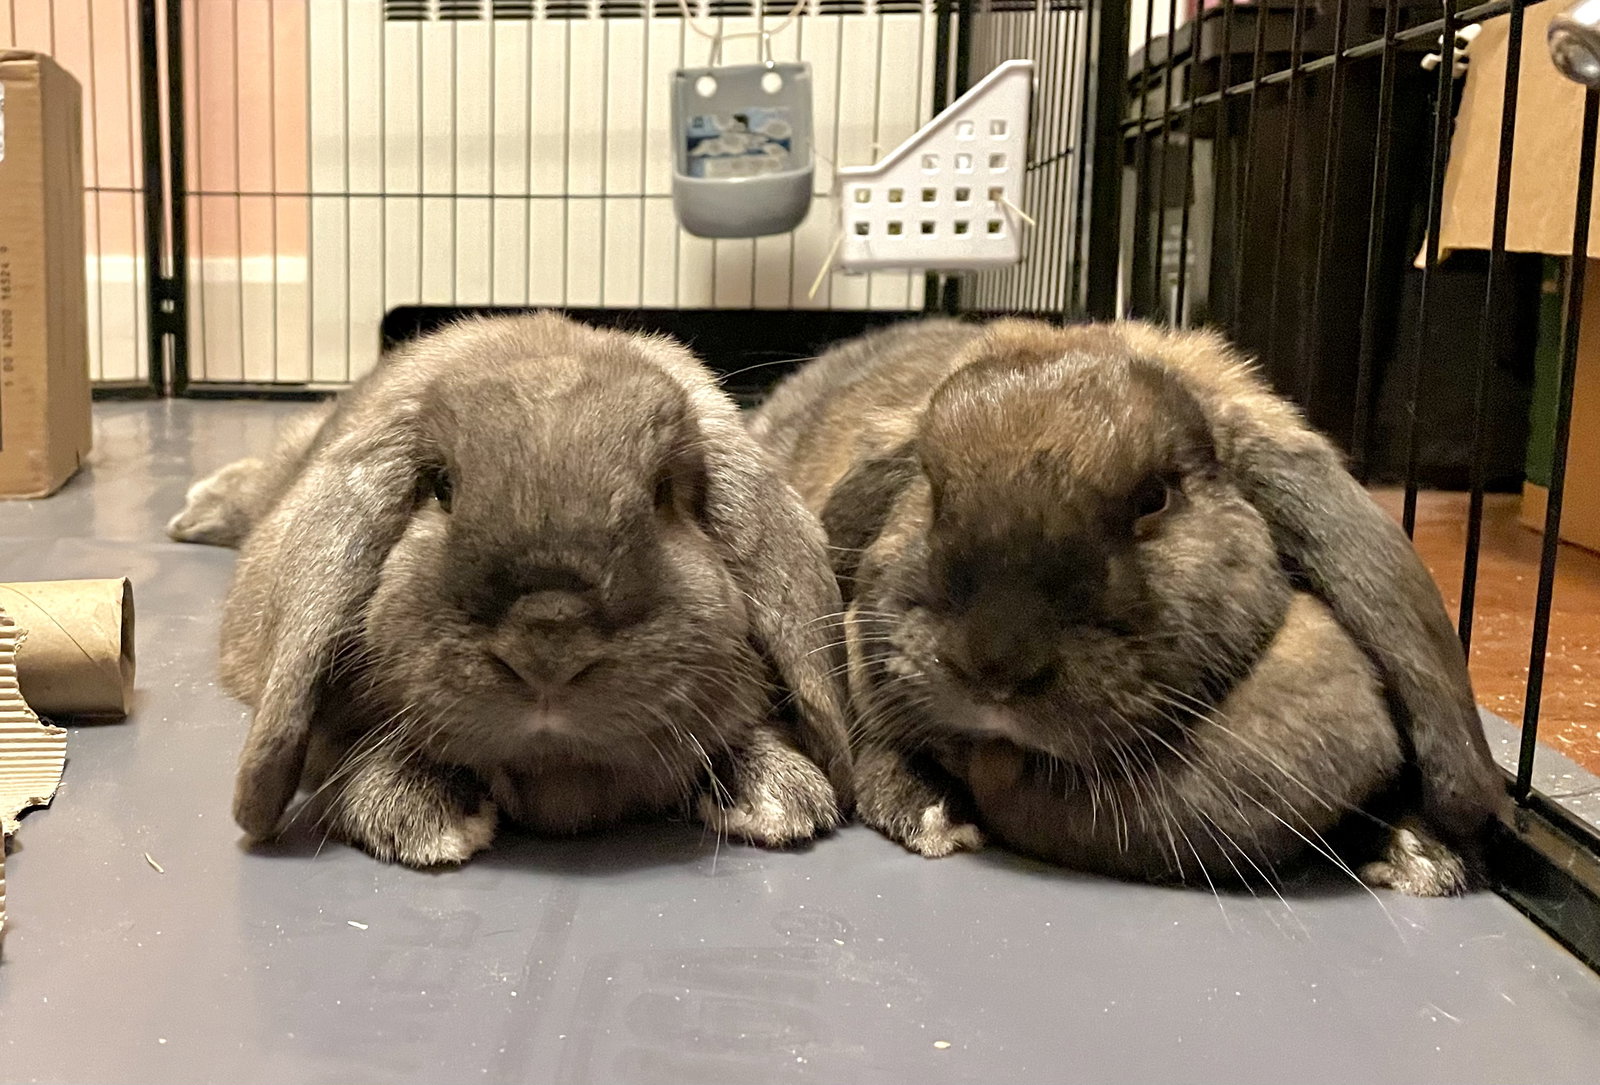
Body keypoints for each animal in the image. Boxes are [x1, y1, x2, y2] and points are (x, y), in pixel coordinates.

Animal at [169, 312, 853, 868]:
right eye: (441, 488)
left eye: (662, 494)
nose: (548, 645)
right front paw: (421, 811)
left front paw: (777, 791)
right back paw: (193, 513)